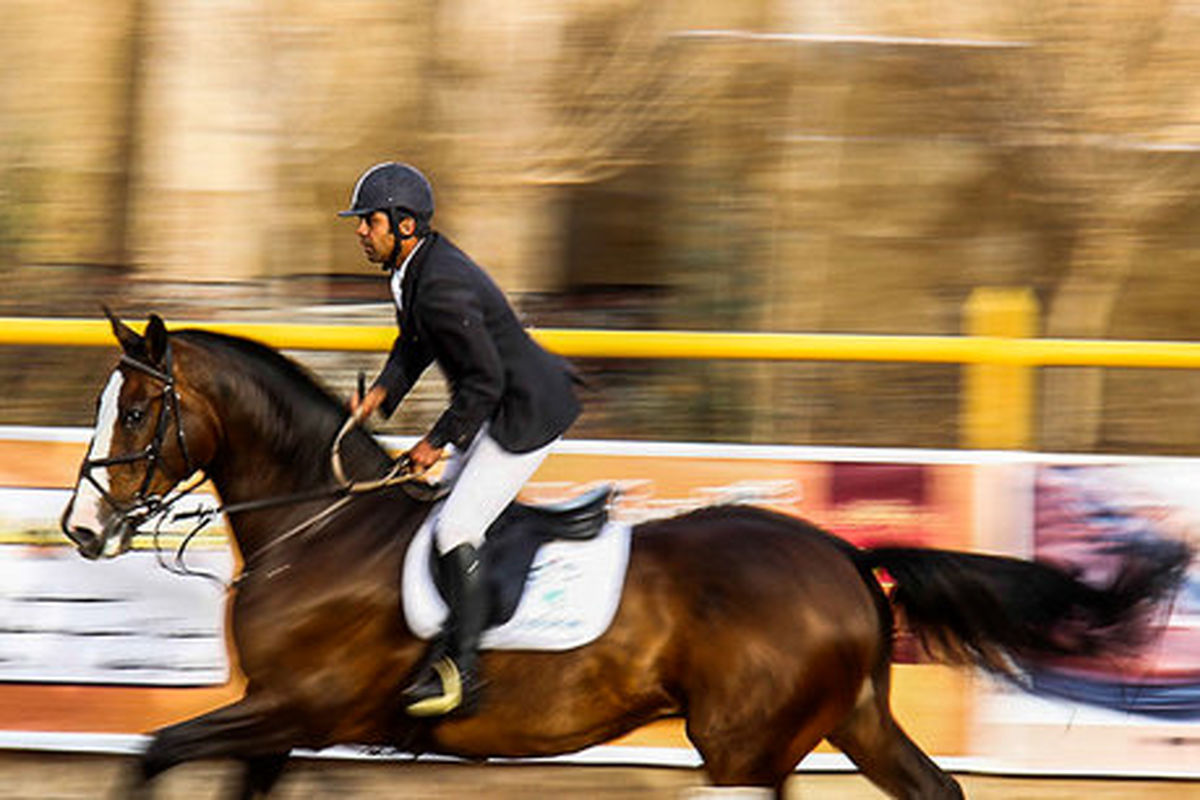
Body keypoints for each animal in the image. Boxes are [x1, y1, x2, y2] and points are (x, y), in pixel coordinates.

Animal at [60, 314, 1185, 800]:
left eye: (141, 409)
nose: (81, 528)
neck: (319, 525)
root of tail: (841, 554)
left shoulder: (297, 706)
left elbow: (150, 750)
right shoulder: (280, 724)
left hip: (741, 749)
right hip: (845, 720)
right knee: (935, 789)